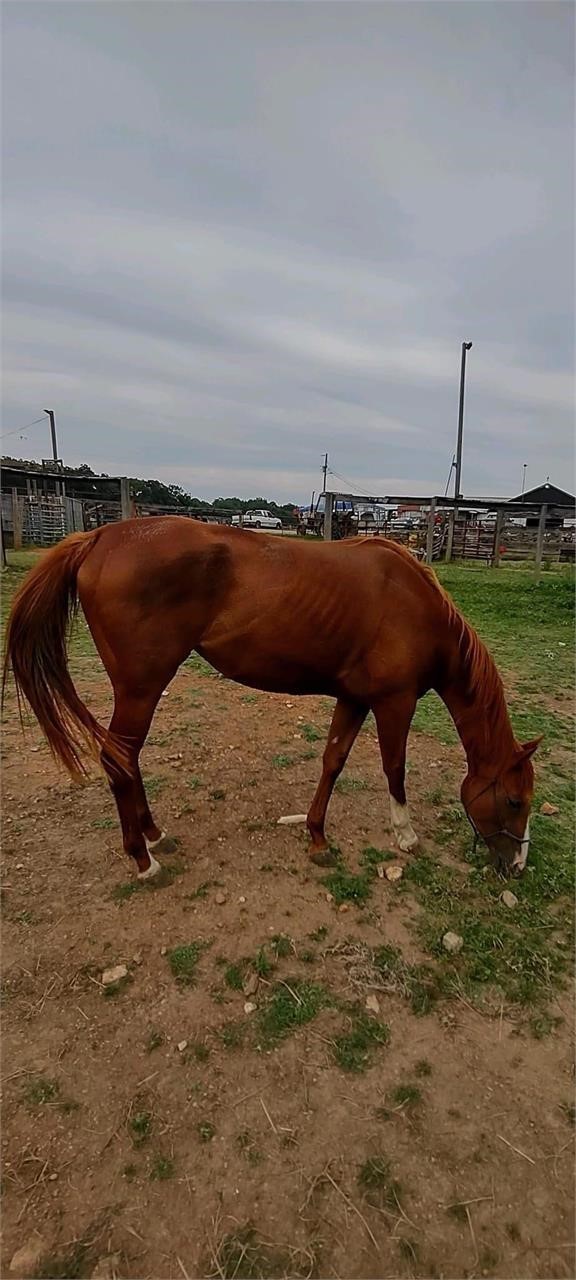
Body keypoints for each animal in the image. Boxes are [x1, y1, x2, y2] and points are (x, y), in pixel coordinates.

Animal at [2, 517, 537, 880]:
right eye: (514, 800)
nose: (517, 865)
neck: (416, 607)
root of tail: (99, 538)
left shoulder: (354, 699)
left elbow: (333, 761)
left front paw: (317, 835)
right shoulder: (395, 702)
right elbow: (395, 769)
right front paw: (405, 835)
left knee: (126, 761)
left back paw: (154, 835)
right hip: (141, 688)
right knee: (119, 760)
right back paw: (142, 858)